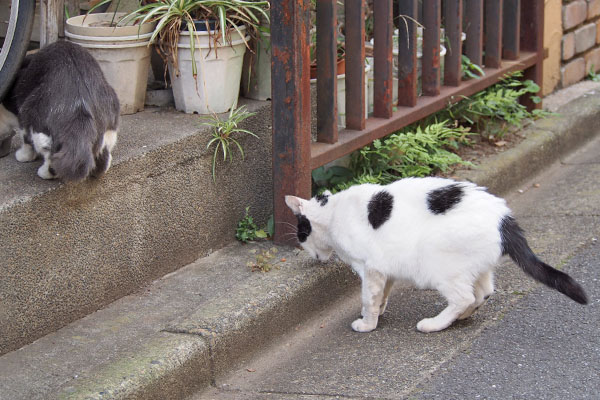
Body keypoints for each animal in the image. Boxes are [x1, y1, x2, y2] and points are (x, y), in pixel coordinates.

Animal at [0, 39, 119, 180]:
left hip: (36, 120)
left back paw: (43, 172)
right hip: (110, 128)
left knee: (51, 158)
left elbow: (25, 140)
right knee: (103, 159)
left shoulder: (22, 114)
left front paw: (23, 156)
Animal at [284, 178, 584, 334]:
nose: (309, 253)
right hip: (474, 267)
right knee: (483, 293)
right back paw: (461, 317)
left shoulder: (370, 268)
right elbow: (381, 295)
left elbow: (369, 297)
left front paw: (368, 323)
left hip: (439, 265)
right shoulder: (384, 267)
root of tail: (504, 219)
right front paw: (379, 311)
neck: (333, 212)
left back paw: (434, 324)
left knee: (464, 297)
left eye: (301, 234)